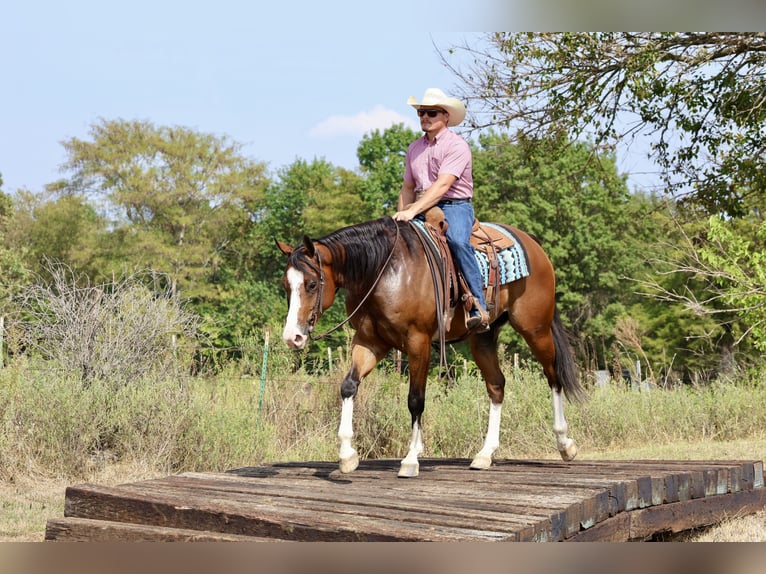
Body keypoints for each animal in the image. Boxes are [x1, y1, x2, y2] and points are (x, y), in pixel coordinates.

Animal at [277, 214, 584, 477]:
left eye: (312, 284)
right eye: (285, 286)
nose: (293, 337)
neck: (384, 272)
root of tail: (532, 243)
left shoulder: (418, 341)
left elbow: (415, 399)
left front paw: (411, 458)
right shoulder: (370, 342)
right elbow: (348, 386)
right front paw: (347, 455)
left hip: (535, 328)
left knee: (553, 377)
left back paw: (565, 444)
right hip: (483, 337)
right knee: (496, 385)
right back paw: (485, 454)